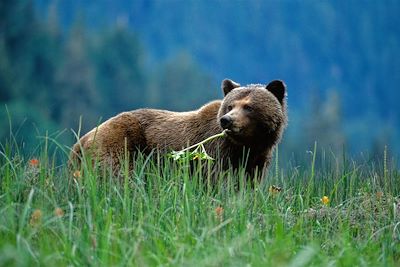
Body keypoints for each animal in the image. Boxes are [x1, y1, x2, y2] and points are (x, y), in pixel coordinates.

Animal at [69, 79, 288, 179]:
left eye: (249, 107)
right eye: (230, 106)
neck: (247, 145)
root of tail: (81, 141)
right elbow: (217, 181)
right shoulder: (216, 153)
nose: (227, 120)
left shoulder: (256, 159)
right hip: (120, 144)